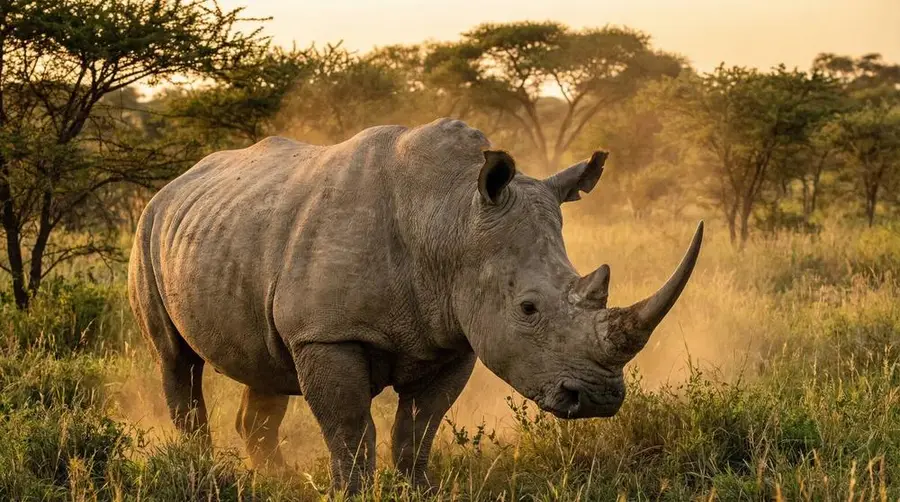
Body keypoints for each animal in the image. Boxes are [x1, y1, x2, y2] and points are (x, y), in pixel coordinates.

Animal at [128, 118, 702, 493]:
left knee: (264, 368)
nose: (600, 398)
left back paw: (275, 478)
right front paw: (351, 494)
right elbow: (350, 432)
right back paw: (201, 469)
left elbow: (418, 430)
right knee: (175, 359)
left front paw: (419, 491)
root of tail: (177, 181)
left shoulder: (455, 335)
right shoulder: (328, 332)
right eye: (528, 309)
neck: (449, 218)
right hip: (149, 227)